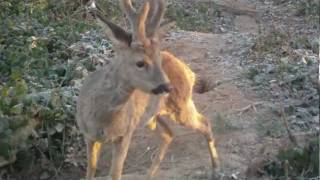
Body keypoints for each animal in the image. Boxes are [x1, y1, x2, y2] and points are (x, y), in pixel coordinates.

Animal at [78, 0, 221, 180]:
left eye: (158, 59)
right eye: (140, 62)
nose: (168, 87)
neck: (101, 118)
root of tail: (189, 72)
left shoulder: (125, 135)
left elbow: (115, 173)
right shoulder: (88, 136)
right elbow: (90, 172)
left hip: (181, 107)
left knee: (205, 123)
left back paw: (216, 168)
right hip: (152, 117)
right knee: (168, 134)